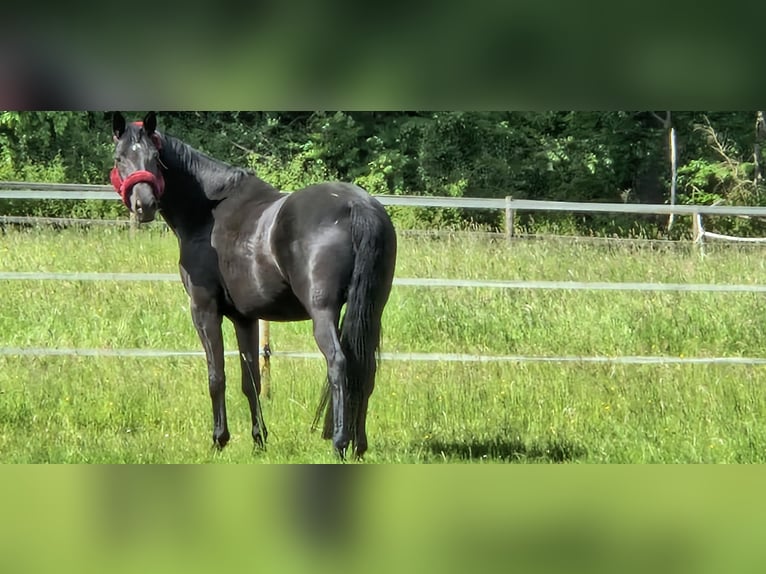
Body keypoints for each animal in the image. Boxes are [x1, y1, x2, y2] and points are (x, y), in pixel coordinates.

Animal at [111, 111, 400, 460]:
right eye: (120, 157)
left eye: (155, 158)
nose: (145, 205)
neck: (208, 212)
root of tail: (357, 206)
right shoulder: (245, 318)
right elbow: (251, 381)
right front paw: (259, 440)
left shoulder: (204, 309)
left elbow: (217, 375)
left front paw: (219, 439)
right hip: (372, 309)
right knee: (365, 368)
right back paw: (359, 445)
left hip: (324, 312)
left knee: (339, 363)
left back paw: (340, 443)